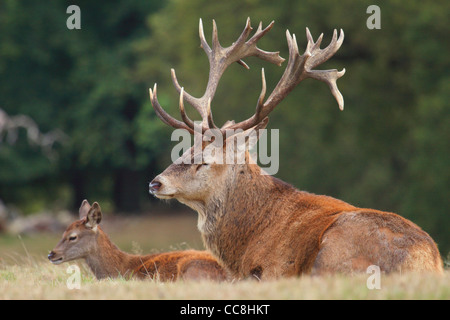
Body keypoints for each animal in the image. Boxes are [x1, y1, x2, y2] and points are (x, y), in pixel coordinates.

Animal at [147, 18, 442, 278]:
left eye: (204, 160)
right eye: (184, 150)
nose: (155, 183)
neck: (244, 245)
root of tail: (428, 260)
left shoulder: (273, 268)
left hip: (335, 249)